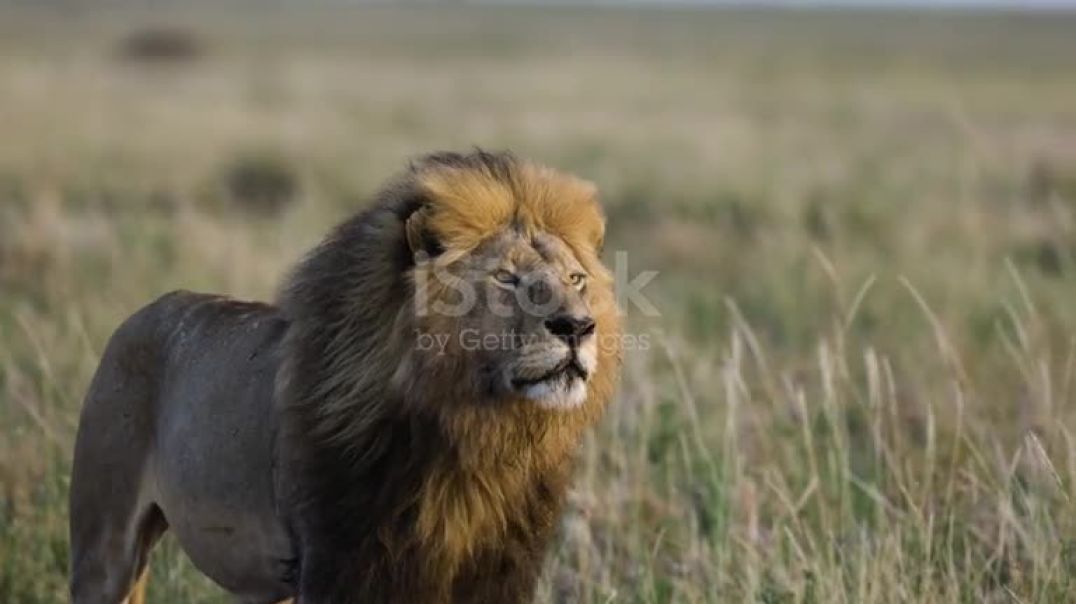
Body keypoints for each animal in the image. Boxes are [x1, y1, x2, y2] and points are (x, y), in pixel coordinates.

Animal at [69, 150, 624, 602]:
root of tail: (141, 313)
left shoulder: (497, 570)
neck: (478, 438)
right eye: (506, 279)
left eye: (576, 278)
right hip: (104, 542)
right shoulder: (341, 560)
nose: (577, 326)